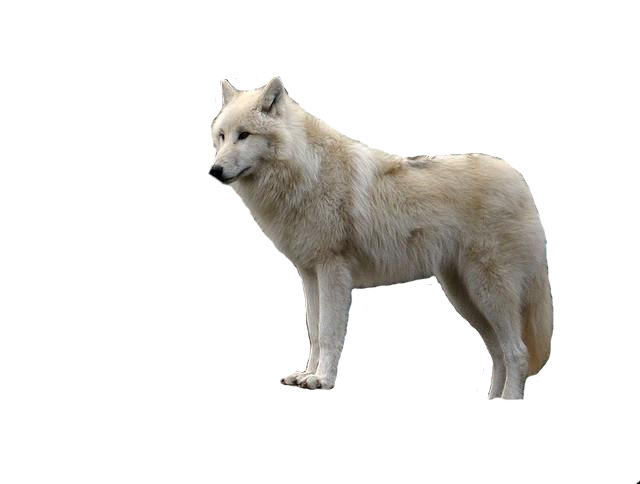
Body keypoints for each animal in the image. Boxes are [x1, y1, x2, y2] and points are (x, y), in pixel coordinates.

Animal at [208, 75, 554, 401]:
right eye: (222, 136)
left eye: (244, 135)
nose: (215, 170)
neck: (307, 170)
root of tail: (523, 184)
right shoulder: (309, 272)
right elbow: (315, 331)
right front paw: (306, 375)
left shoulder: (332, 268)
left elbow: (330, 332)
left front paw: (323, 380)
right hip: (465, 297)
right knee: (497, 353)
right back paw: (488, 402)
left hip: (489, 292)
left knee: (517, 352)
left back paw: (508, 404)